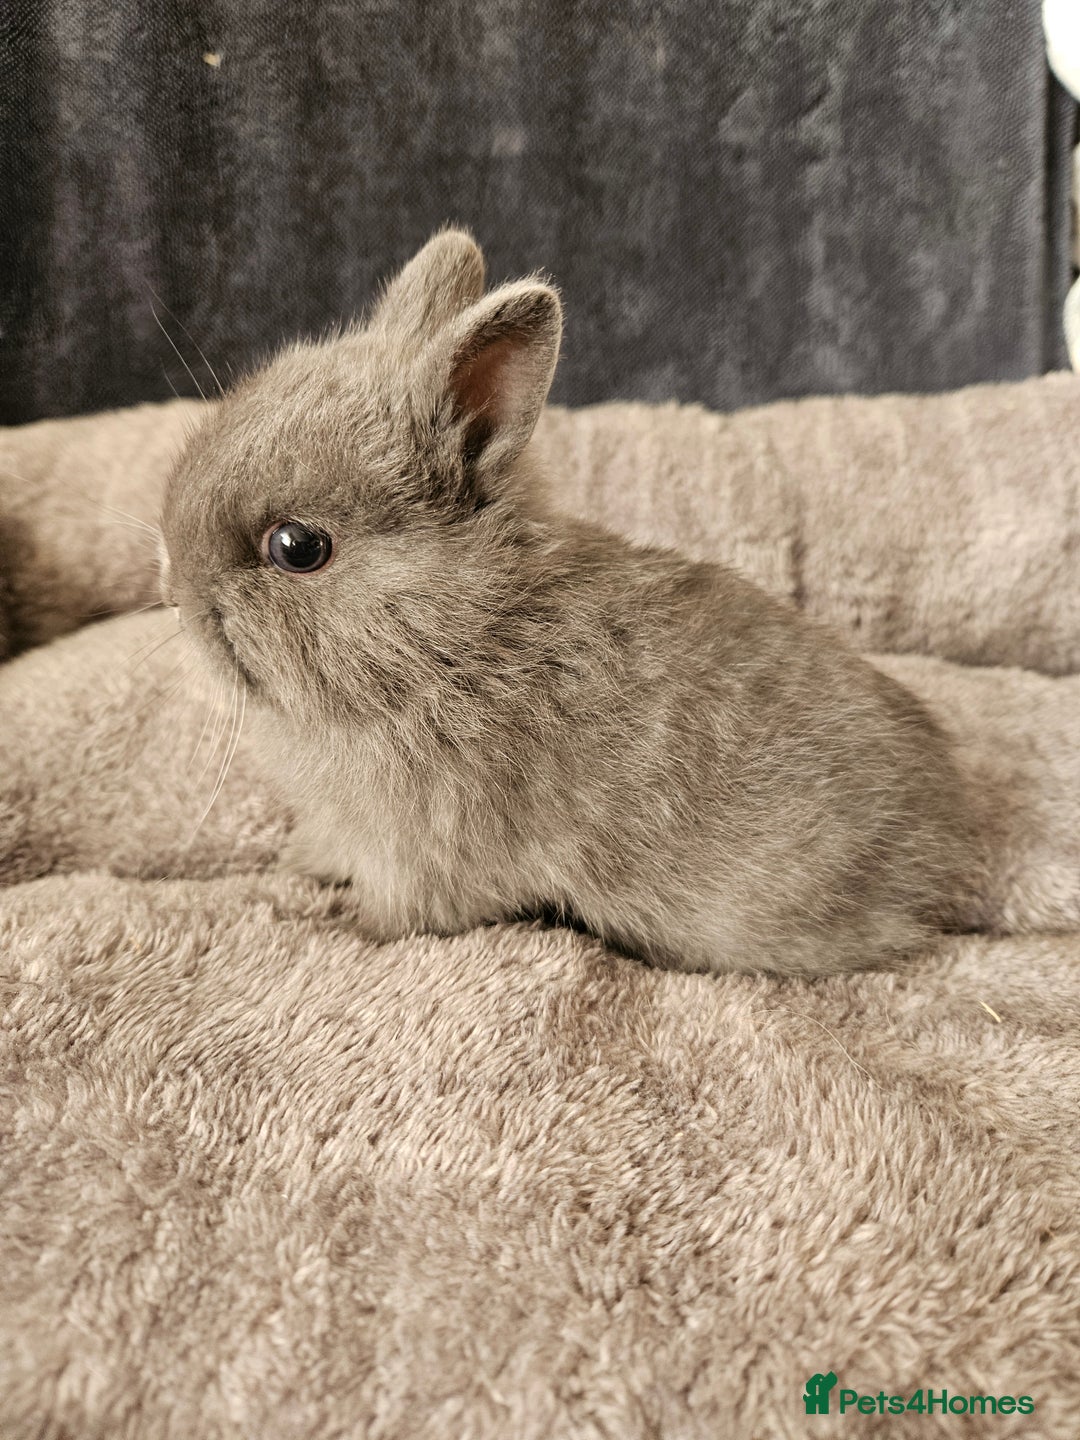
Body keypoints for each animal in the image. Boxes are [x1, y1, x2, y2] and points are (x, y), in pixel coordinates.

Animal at [159, 229, 977, 976]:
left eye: (298, 547)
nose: (173, 584)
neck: (448, 641)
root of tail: (950, 836)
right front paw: (302, 864)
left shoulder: (422, 859)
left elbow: (397, 916)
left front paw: (339, 929)